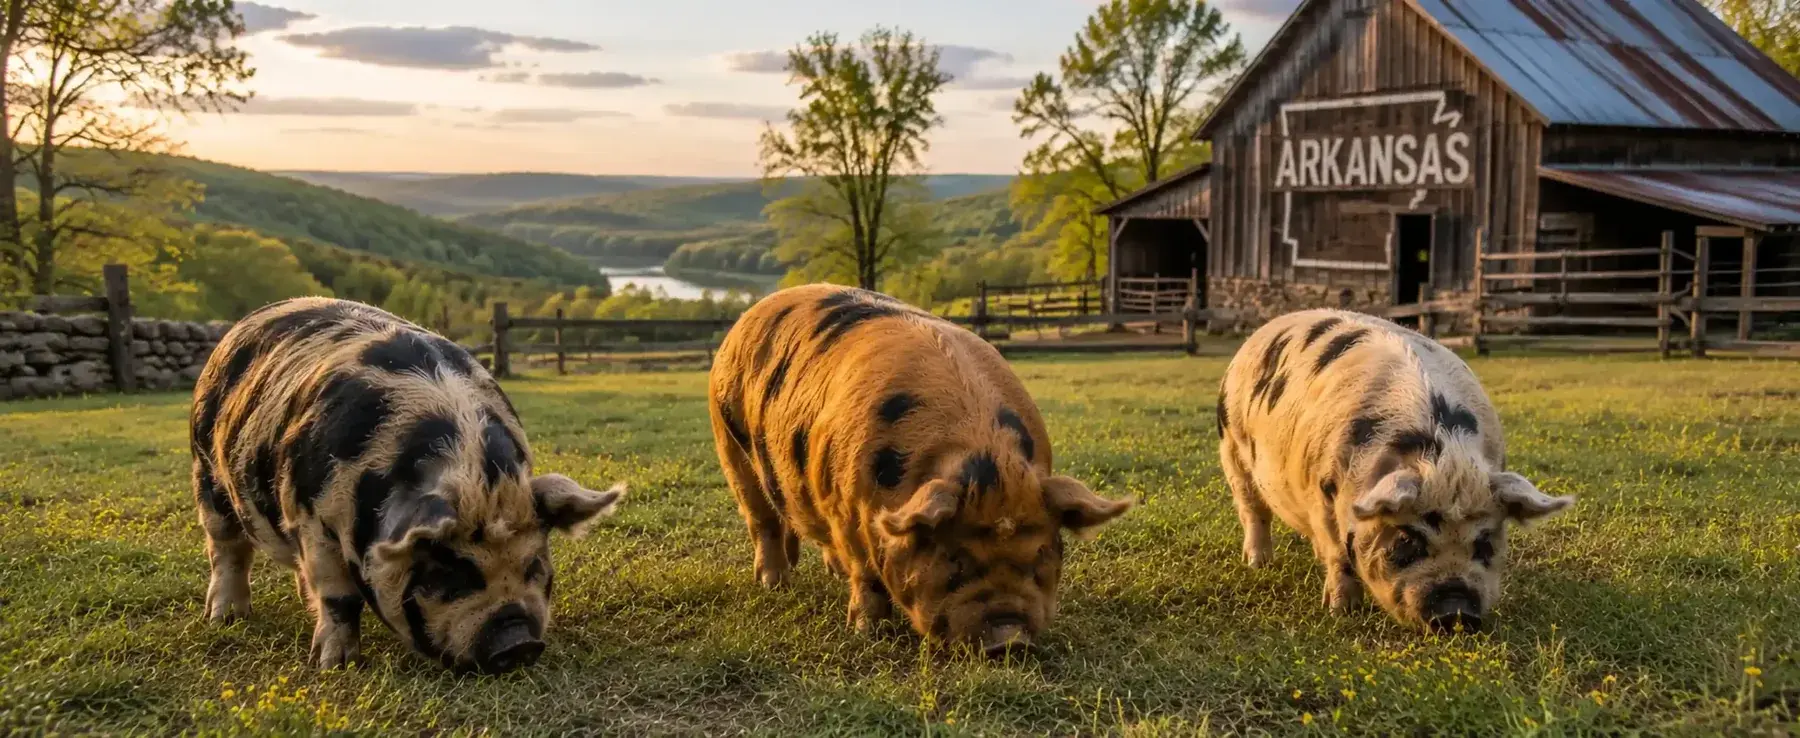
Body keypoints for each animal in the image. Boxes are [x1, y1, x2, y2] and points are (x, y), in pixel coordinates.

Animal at [190, 297, 623, 672]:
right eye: (449, 569)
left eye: (535, 564)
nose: (520, 643)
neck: (474, 479)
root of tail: (238, 328)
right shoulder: (310, 517)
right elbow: (338, 597)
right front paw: (336, 665)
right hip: (206, 472)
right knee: (226, 549)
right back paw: (225, 618)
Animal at [708, 284, 1133, 654]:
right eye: (954, 557)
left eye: (1043, 552)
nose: (1009, 640)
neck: (979, 449)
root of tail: (746, 318)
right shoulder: (843, 508)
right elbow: (866, 576)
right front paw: (867, 633)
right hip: (730, 446)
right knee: (761, 520)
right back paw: (774, 584)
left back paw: (829, 573)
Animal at [1217, 308, 1572, 632]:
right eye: (1407, 538)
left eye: (1485, 540)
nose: (1456, 611)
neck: (1442, 460)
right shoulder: (1321, 494)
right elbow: (1339, 556)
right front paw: (1341, 611)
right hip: (1232, 449)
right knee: (1253, 510)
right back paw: (1258, 564)